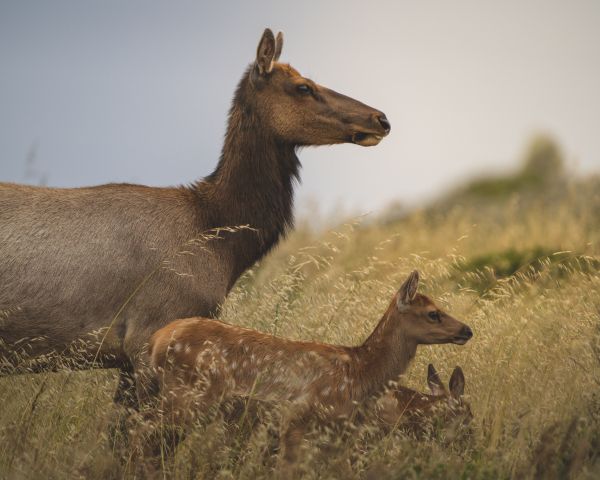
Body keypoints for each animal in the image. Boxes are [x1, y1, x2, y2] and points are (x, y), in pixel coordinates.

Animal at [146, 272, 474, 466]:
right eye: (433, 313)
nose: (467, 329)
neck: (358, 373)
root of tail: (157, 339)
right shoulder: (297, 421)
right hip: (186, 397)